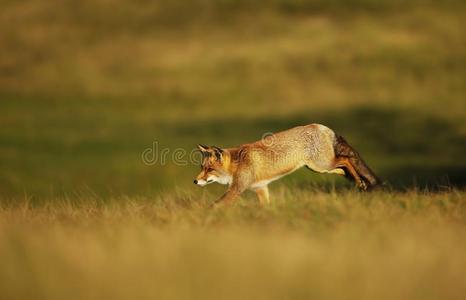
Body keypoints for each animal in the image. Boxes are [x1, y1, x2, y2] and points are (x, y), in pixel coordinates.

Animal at [195, 123, 380, 206]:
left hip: (323, 164)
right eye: (202, 168)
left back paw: (359, 182)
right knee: (342, 168)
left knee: (346, 160)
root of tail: (321, 126)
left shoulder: (237, 189)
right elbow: (266, 207)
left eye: (210, 169)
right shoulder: (260, 188)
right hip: (319, 168)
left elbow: (215, 205)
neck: (236, 164)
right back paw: (359, 181)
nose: (195, 181)